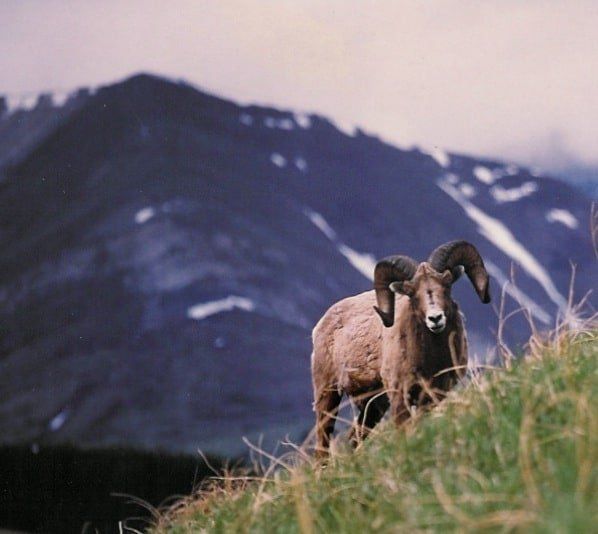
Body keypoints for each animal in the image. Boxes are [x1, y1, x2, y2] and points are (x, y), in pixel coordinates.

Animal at [311, 241, 491, 457]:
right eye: (412, 293)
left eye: (446, 285)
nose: (435, 318)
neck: (431, 359)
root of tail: (320, 326)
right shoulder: (399, 395)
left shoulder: (434, 396)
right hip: (327, 395)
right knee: (323, 443)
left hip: (374, 405)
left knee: (355, 437)